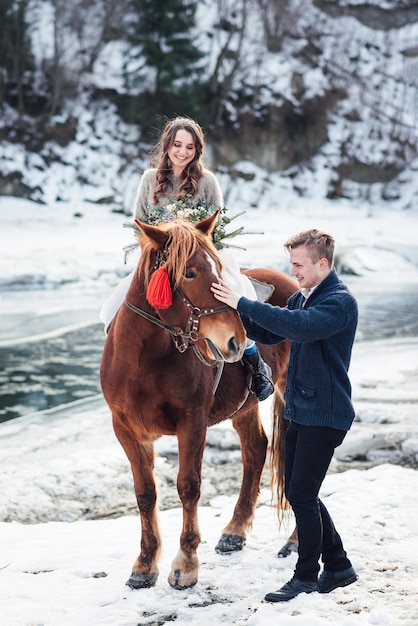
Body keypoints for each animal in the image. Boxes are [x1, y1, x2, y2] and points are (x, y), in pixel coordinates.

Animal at [100, 212, 298, 588]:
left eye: (218, 268)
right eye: (189, 273)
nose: (237, 339)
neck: (144, 360)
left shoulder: (192, 423)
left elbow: (188, 486)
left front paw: (186, 563)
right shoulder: (126, 430)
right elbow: (145, 494)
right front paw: (144, 565)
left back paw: (295, 539)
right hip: (245, 406)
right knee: (256, 449)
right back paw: (235, 531)